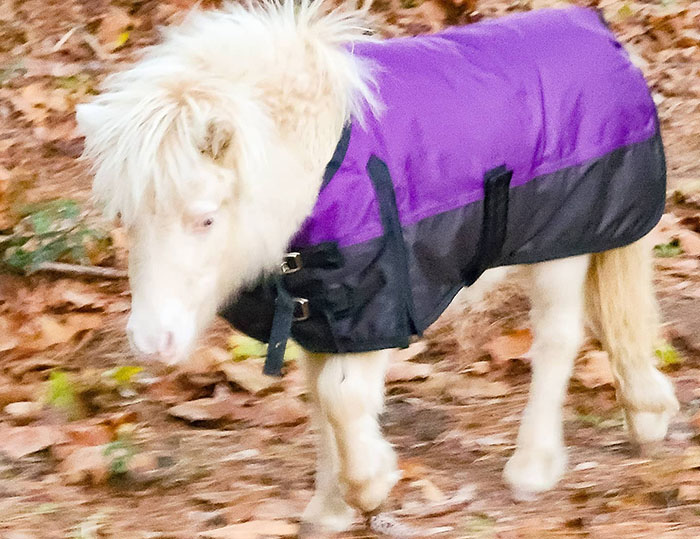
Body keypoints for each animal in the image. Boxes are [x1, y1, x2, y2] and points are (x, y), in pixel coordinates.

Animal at [76, 2, 680, 532]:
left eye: (204, 218)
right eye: (127, 217)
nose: (153, 341)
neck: (323, 161)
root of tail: (604, 38)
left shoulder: (379, 300)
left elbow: (342, 400)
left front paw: (371, 487)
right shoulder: (316, 309)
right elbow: (319, 399)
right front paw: (329, 510)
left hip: (560, 250)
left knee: (558, 339)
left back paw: (532, 467)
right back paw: (647, 413)